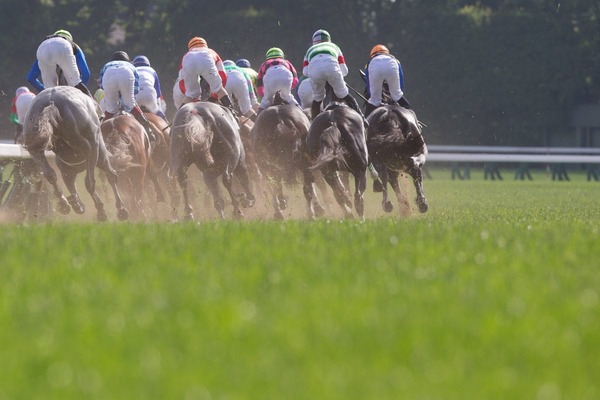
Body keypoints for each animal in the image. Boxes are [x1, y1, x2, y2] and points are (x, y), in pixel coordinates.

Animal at [22, 85, 129, 220]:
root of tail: (51, 102)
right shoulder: (94, 149)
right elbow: (101, 178)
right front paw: (109, 209)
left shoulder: (68, 164)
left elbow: (69, 182)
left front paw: (76, 204)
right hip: (92, 149)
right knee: (98, 179)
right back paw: (111, 210)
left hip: (35, 149)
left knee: (51, 175)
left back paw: (66, 204)